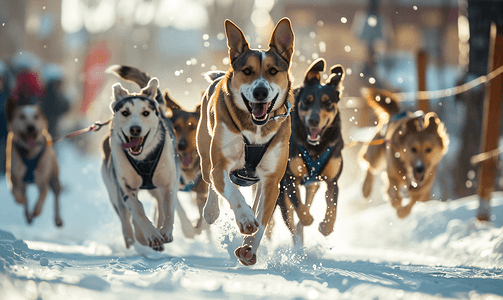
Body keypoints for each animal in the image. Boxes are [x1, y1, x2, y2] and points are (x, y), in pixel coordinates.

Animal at [5, 72, 63, 226]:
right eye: (21, 116)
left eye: (36, 117)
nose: (31, 127)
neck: (30, 153)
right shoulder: (14, 176)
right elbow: (16, 193)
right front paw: (20, 200)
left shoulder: (43, 181)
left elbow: (42, 196)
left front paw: (36, 211)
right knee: (25, 197)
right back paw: (27, 215)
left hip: (54, 177)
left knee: (56, 195)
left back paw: (57, 218)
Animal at [197, 18, 296, 264]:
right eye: (247, 71)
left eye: (273, 71)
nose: (260, 91)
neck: (255, 129)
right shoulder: (220, 166)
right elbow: (232, 192)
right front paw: (245, 219)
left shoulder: (272, 180)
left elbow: (263, 217)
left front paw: (249, 247)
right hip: (205, 156)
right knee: (211, 182)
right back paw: (211, 211)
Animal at [360, 87, 450, 218]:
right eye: (413, 149)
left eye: (429, 149)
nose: (420, 168)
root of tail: (396, 112)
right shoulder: (392, 174)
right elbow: (393, 193)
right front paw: (396, 204)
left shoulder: (425, 183)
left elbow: (414, 199)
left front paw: (403, 212)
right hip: (376, 152)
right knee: (369, 166)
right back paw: (366, 189)